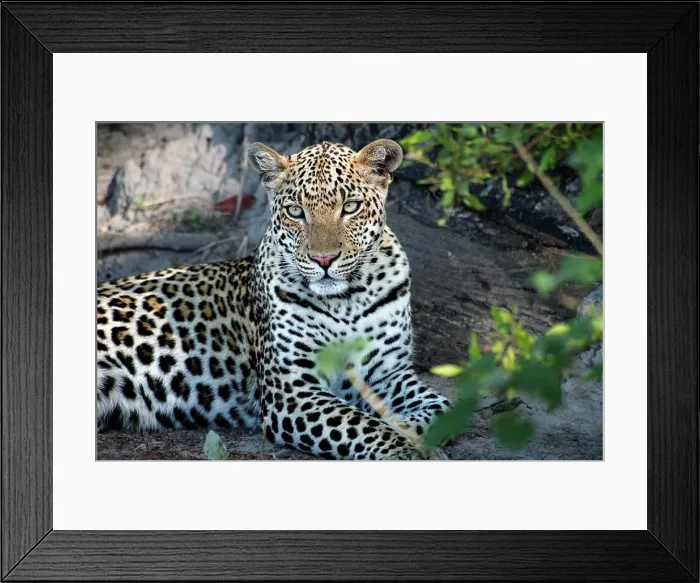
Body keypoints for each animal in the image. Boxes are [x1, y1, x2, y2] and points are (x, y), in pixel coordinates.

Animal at [96, 139, 452, 460]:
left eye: (350, 207)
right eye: (296, 212)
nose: (324, 260)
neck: (346, 300)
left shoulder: (389, 372)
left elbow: (441, 408)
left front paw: (407, 429)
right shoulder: (291, 390)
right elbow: (359, 424)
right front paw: (405, 451)